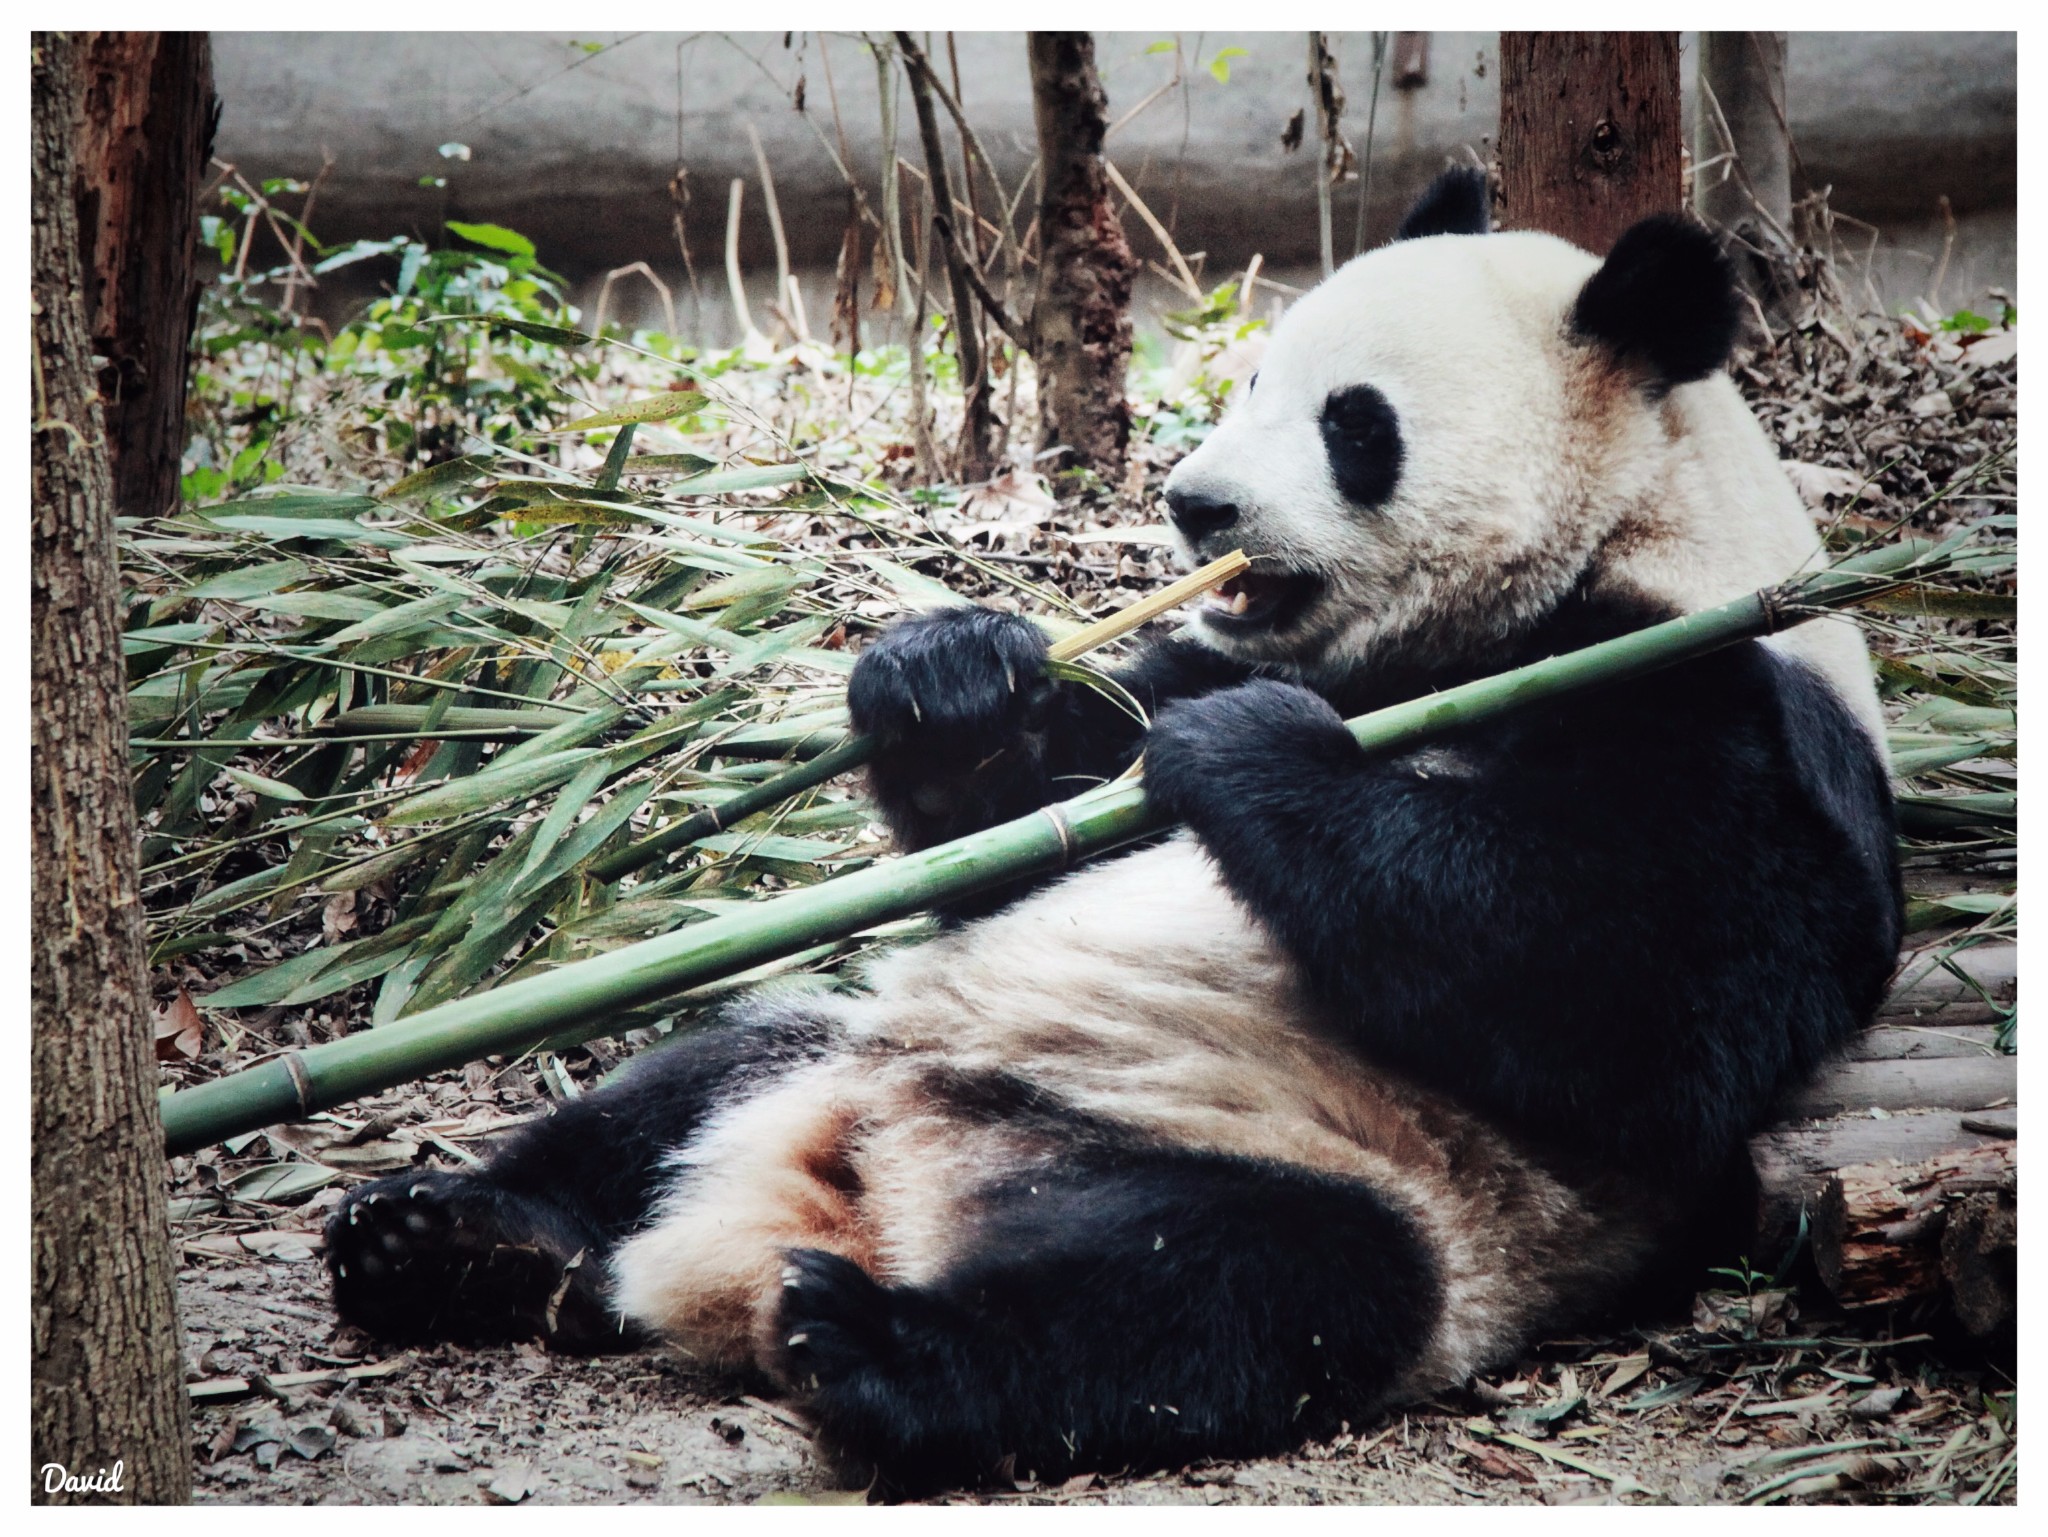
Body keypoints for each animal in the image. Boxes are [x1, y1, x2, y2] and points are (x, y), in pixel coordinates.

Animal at [323, 165, 1900, 1491]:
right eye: (1252, 374)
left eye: (1353, 422)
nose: (1195, 503)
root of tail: (848, 1195)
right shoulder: (1227, 659)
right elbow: (1040, 798)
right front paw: (950, 674)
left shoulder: (1722, 705)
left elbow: (1631, 995)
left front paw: (1255, 754)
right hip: (838, 1040)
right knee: (669, 1087)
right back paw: (445, 1234)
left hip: (1358, 1185)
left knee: (1219, 1294)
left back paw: (870, 1346)